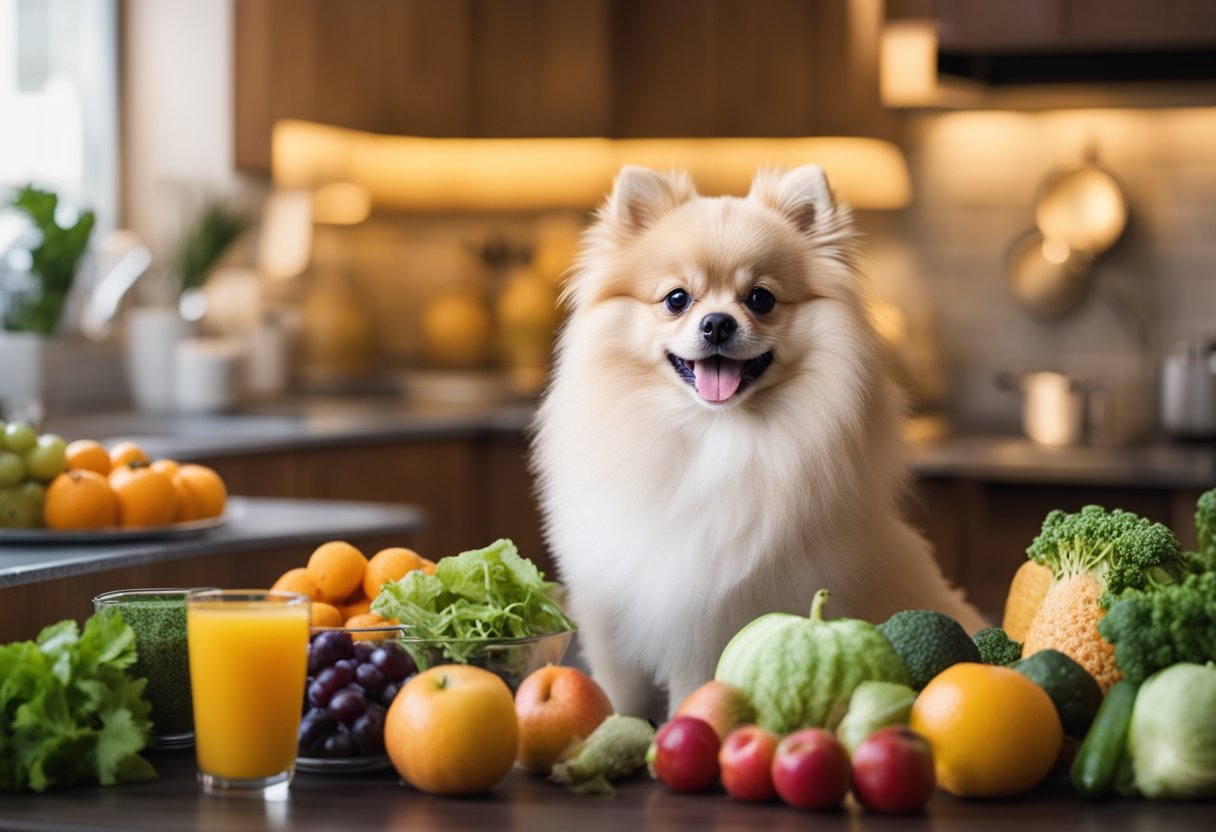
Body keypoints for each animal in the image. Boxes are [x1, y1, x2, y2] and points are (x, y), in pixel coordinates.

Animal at [535, 167, 987, 715]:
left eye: (761, 298)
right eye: (677, 299)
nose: (717, 323)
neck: (714, 435)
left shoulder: (707, 626)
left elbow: (693, 690)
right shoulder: (612, 615)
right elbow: (620, 694)